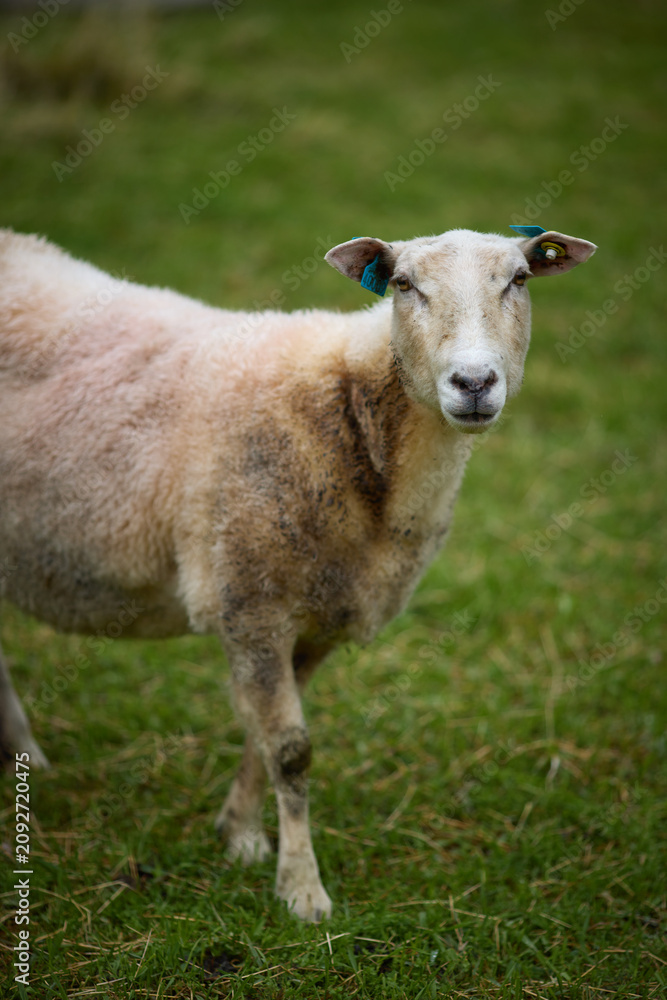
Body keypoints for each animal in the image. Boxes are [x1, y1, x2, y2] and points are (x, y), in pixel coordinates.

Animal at [0, 225, 596, 921]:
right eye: (403, 285)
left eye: (519, 281)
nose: (473, 382)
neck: (353, 411)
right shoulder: (250, 600)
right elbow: (290, 751)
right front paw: (301, 889)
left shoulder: (314, 619)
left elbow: (266, 742)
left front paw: (240, 834)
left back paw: (25, 758)